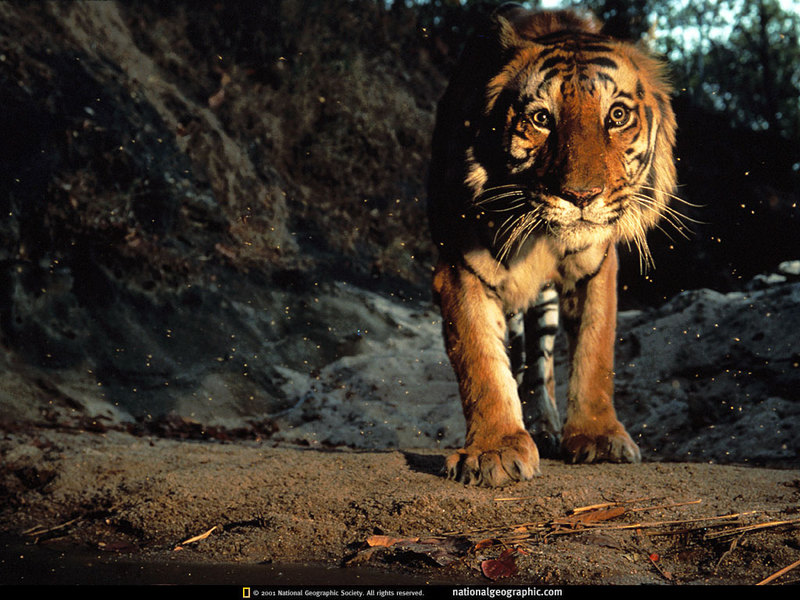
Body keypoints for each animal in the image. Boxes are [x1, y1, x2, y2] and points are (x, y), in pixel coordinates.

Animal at [428, 4, 680, 486]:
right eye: (542, 119)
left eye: (616, 116)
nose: (581, 196)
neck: (541, 240)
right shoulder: (460, 268)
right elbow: (481, 360)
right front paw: (493, 451)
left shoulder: (596, 269)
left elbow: (594, 353)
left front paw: (598, 437)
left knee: (539, 365)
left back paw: (545, 426)